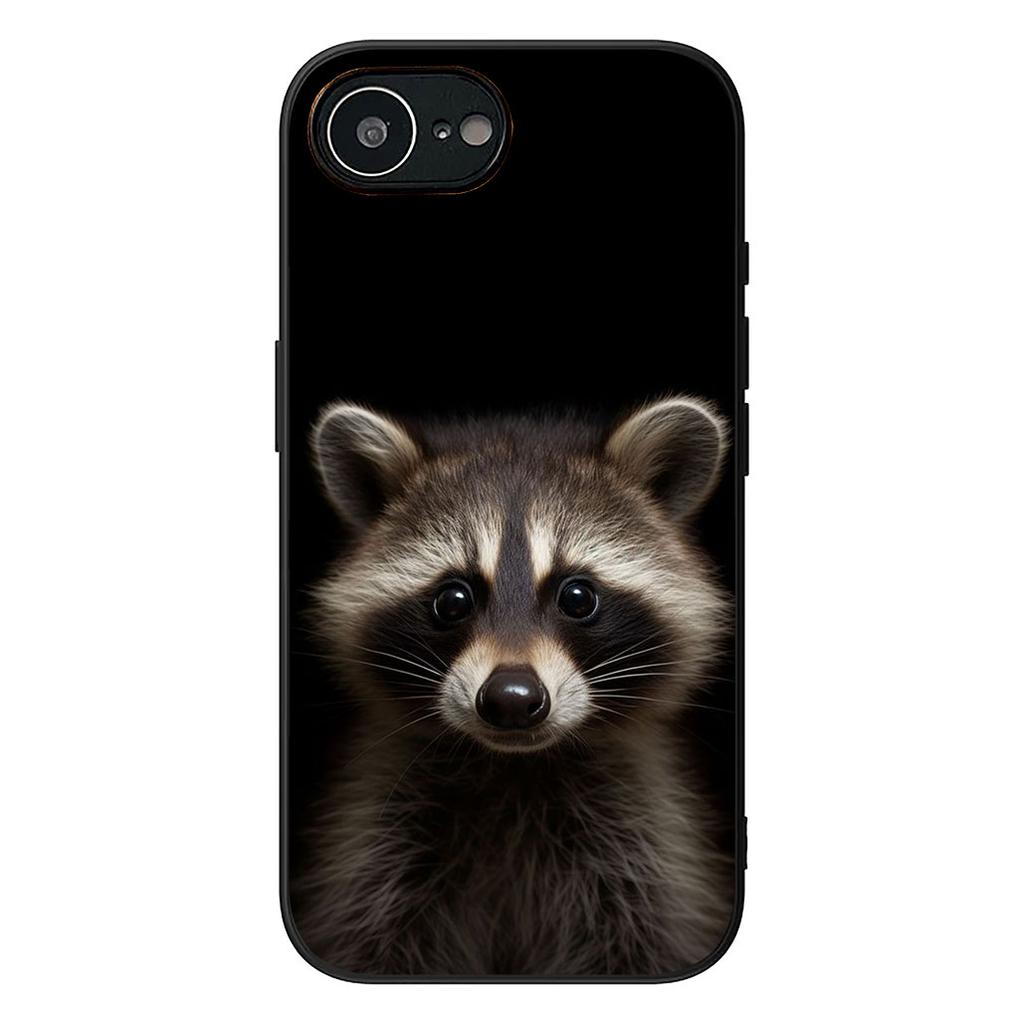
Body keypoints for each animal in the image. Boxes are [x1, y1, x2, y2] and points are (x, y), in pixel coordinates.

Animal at [293, 396, 736, 977]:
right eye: (452, 600)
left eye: (577, 597)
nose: (511, 699)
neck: (514, 769)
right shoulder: (378, 854)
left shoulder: (644, 855)